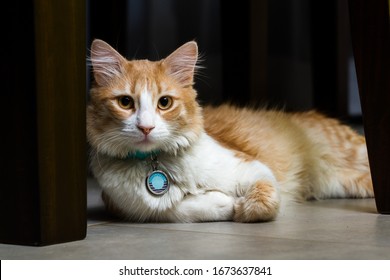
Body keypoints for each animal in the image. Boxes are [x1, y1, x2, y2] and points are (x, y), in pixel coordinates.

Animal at [87, 38, 374, 223]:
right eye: (125, 102)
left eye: (164, 102)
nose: (146, 127)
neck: (157, 162)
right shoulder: (123, 204)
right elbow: (176, 209)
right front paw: (224, 203)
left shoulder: (253, 168)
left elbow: (264, 202)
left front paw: (242, 207)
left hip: (354, 152)